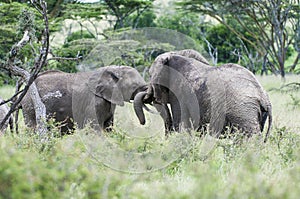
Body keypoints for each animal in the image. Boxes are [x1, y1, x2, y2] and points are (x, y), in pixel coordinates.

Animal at [135, 49, 274, 141]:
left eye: (150, 74)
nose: (143, 122)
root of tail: (264, 98)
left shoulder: (180, 93)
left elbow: (182, 125)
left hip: (243, 111)